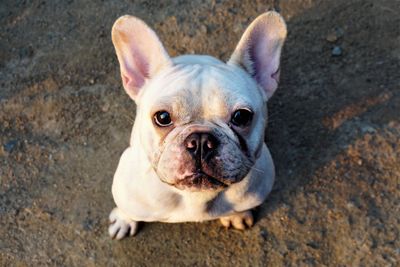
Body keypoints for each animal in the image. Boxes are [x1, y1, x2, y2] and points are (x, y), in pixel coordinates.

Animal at [108, 11, 286, 241]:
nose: (201, 141)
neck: (196, 196)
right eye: (162, 117)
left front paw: (237, 215)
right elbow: (127, 209)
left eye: (241, 116)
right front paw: (124, 220)